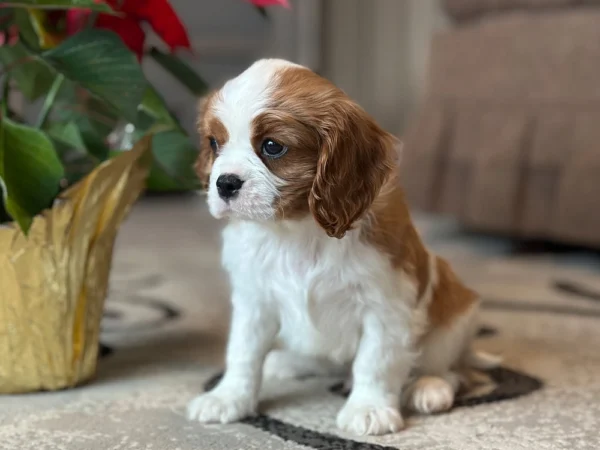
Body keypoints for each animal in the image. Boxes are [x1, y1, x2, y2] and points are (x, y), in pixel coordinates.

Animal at [189, 59, 496, 436]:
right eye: (214, 143)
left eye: (273, 146)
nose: (224, 183)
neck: (296, 228)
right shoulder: (253, 299)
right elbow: (243, 352)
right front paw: (228, 397)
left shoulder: (386, 306)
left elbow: (375, 361)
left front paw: (369, 408)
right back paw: (288, 362)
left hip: (454, 321)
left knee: (455, 371)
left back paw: (429, 387)